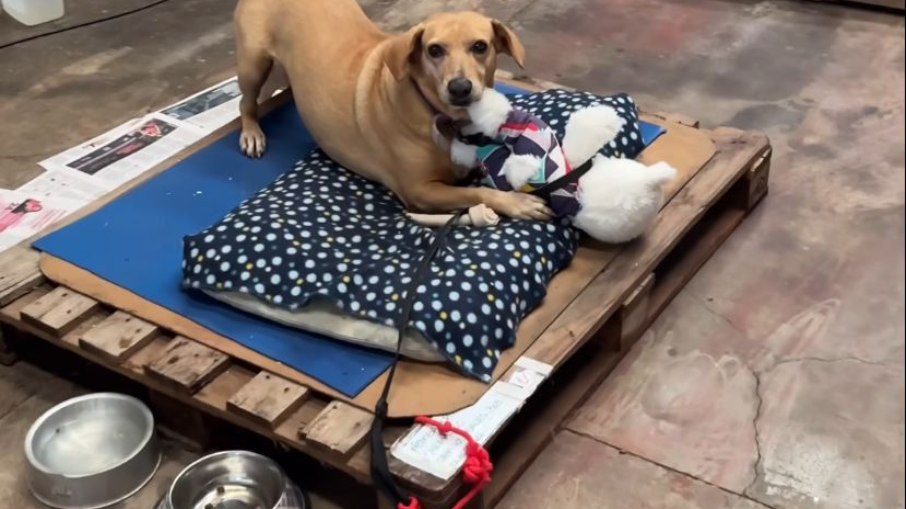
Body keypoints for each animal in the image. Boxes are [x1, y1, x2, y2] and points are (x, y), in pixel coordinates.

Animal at [233, 1, 552, 220]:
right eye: (434, 50)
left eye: (480, 46)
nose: (460, 88)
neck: (438, 116)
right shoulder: (420, 191)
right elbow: (476, 191)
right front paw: (517, 203)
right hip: (252, 63)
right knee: (245, 103)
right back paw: (252, 133)